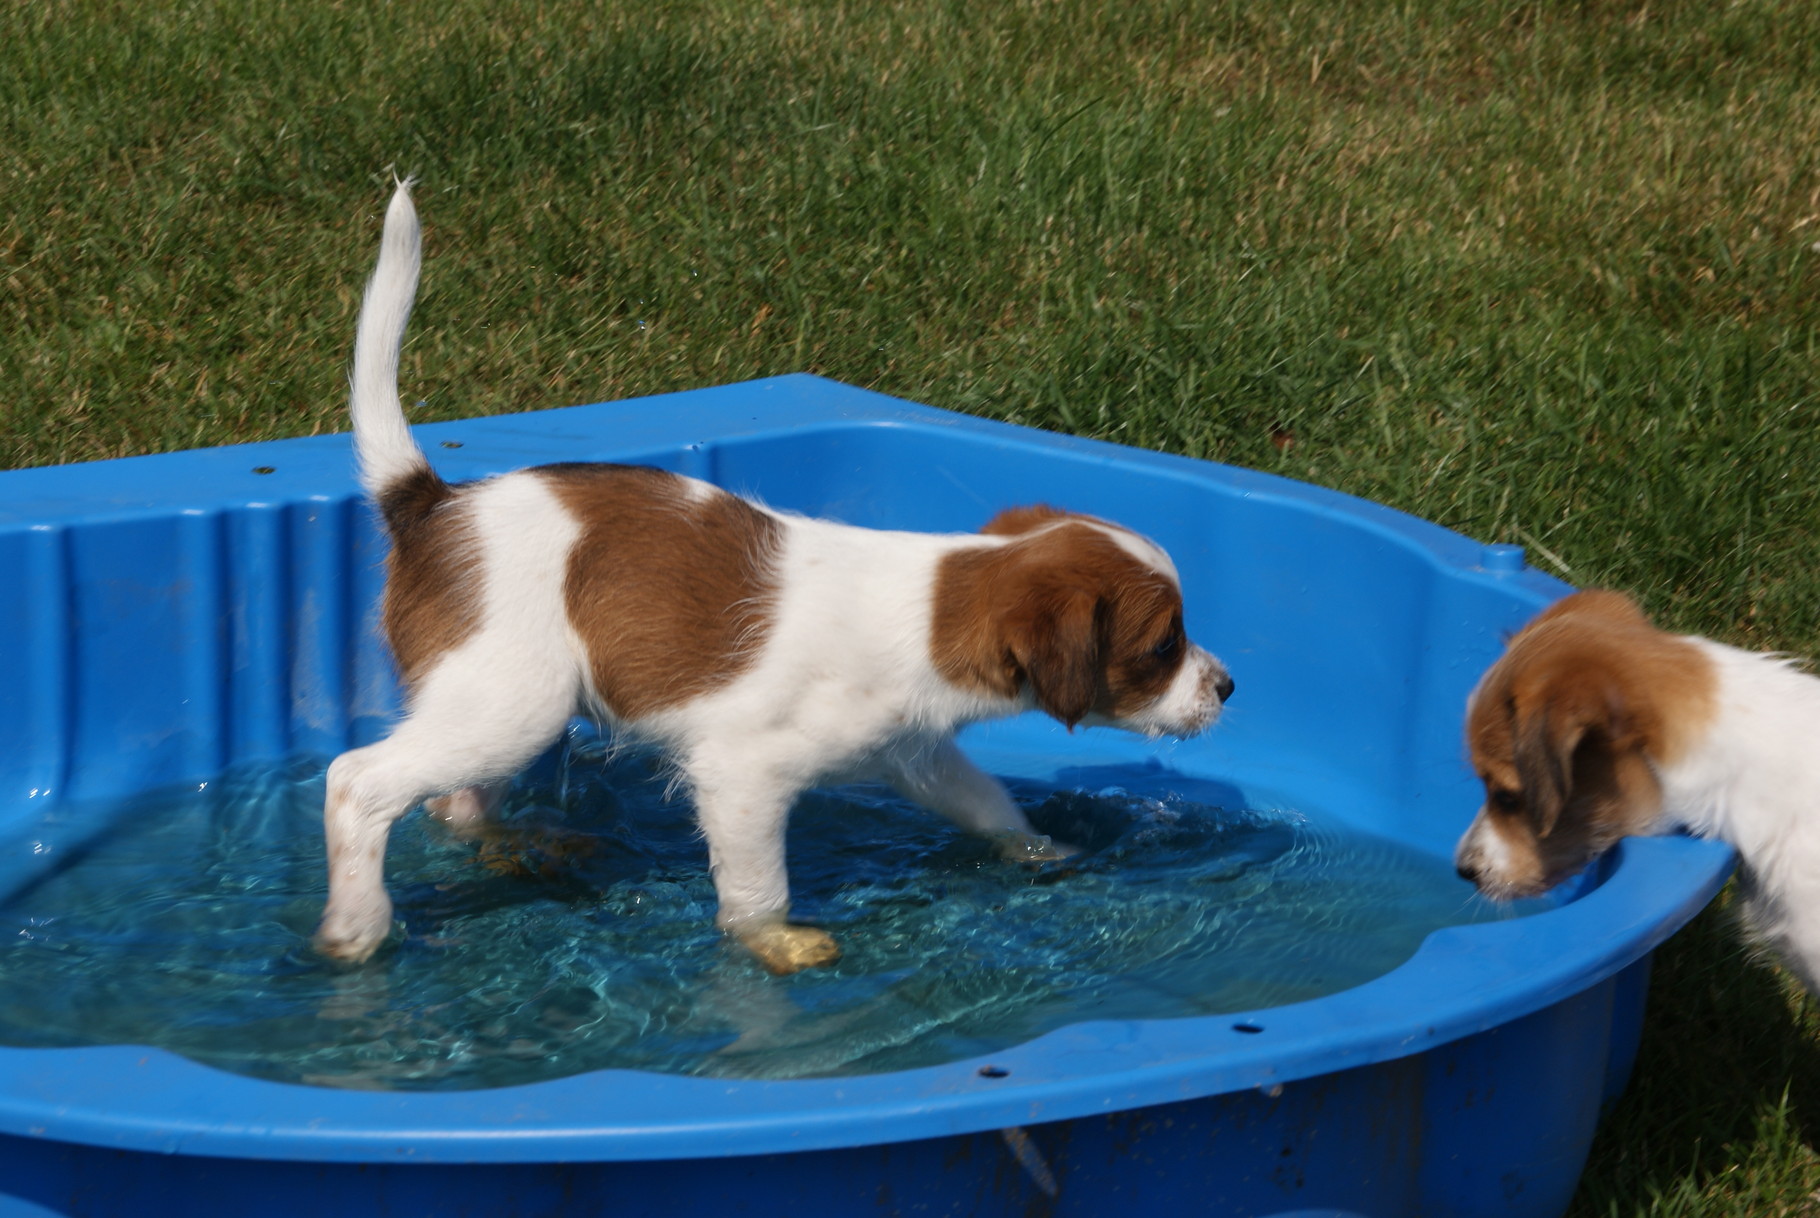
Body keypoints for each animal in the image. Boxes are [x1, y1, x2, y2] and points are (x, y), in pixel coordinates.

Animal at [320, 180, 1244, 975]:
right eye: (1163, 646)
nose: (1229, 686)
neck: (935, 608)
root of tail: (432, 504)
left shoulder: (916, 755)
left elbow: (991, 806)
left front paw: (1043, 851)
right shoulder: (743, 775)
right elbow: (758, 890)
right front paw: (777, 944)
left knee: (453, 804)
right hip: (513, 704)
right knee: (357, 783)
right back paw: (355, 928)